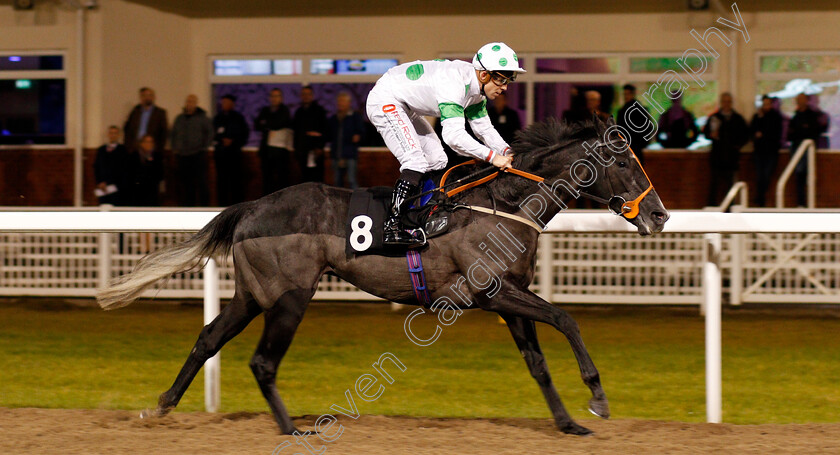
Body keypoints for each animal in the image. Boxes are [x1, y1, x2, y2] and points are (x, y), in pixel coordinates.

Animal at [97, 116, 668, 436]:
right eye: (626, 164)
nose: (660, 215)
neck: (505, 204)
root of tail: (253, 205)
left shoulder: (511, 295)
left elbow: (538, 363)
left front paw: (568, 423)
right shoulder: (492, 291)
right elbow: (567, 319)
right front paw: (597, 398)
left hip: (253, 294)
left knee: (209, 338)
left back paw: (163, 406)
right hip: (289, 297)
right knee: (262, 361)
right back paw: (290, 430)